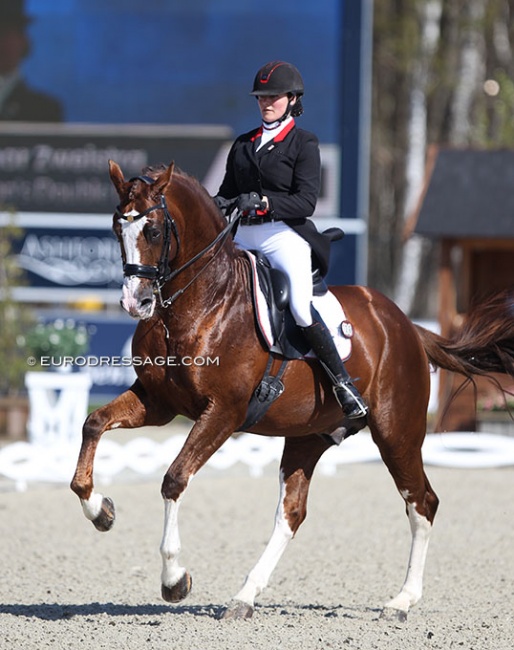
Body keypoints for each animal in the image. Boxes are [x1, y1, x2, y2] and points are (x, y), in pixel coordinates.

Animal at [71, 161, 512, 616]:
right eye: (116, 228)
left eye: (155, 231)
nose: (135, 303)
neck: (199, 303)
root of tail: (405, 324)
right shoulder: (158, 403)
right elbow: (93, 425)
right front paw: (100, 511)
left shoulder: (223, 412)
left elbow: (174, 479)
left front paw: (175, 580)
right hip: (309, 436)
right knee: (292, 514)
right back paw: (245, 596)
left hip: (397, 433)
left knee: (422, 502)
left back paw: (402, 600)